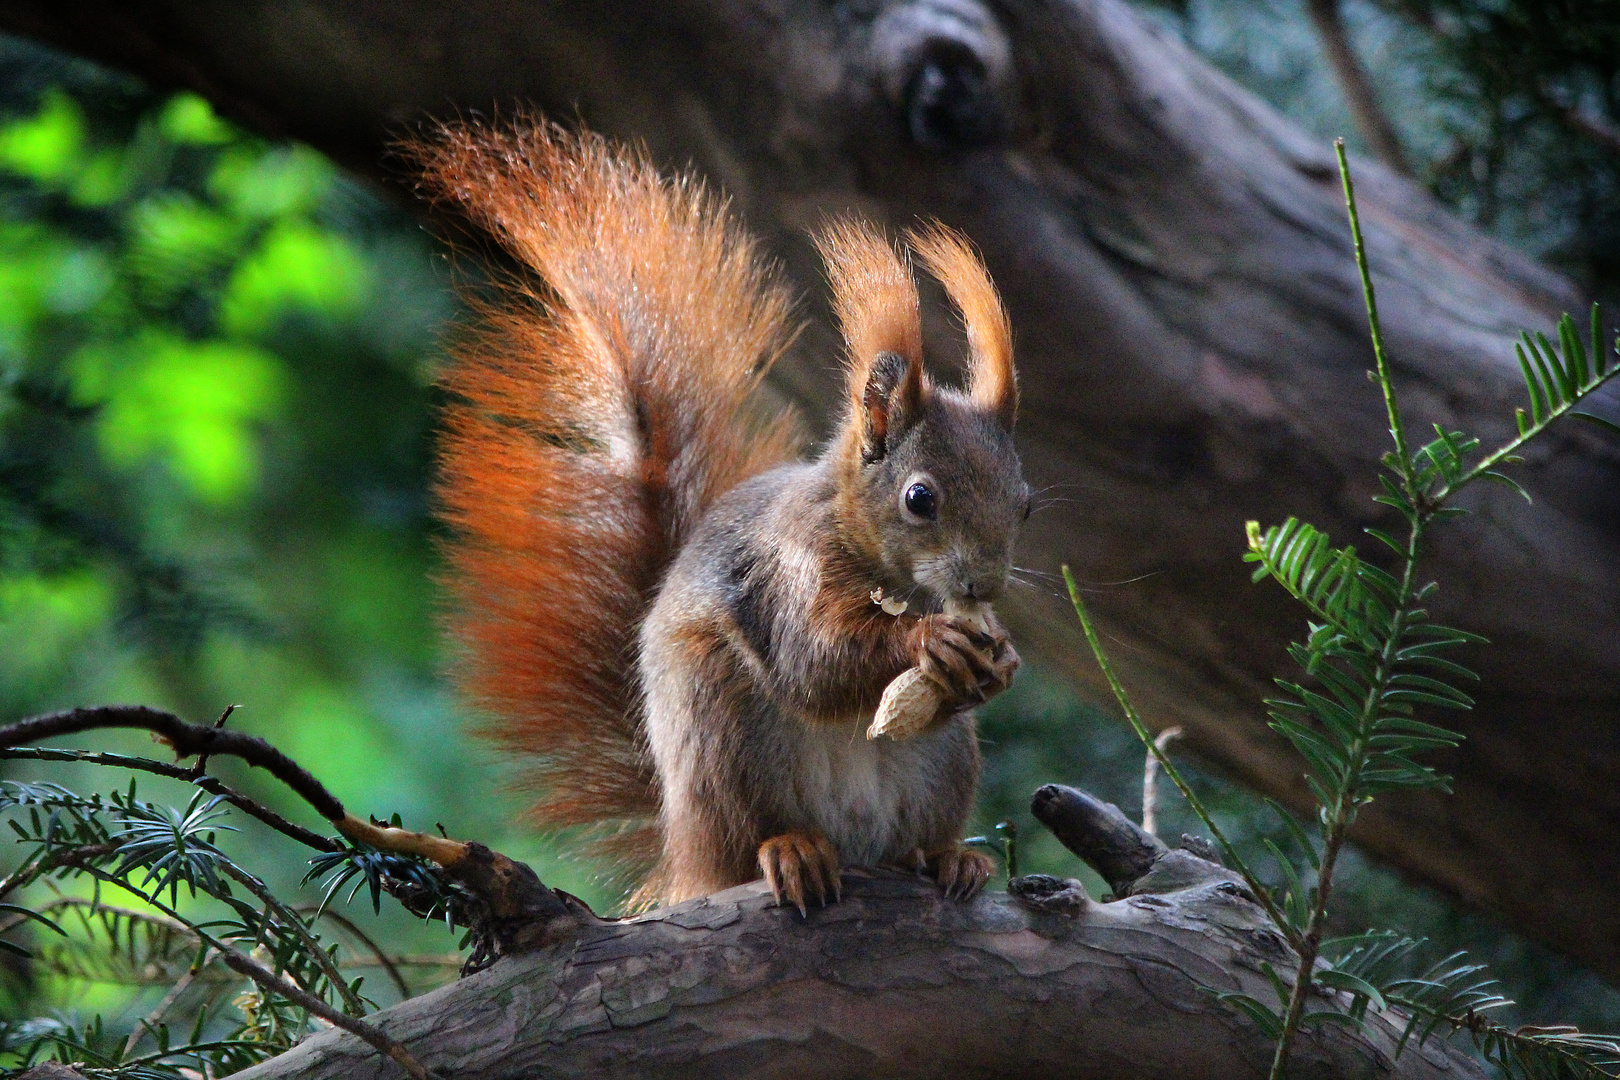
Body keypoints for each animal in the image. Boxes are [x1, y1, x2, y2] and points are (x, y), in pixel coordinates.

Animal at [414, 120, 1023, 913]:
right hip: (723, 731)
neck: (882, 568)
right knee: (747, 840)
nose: (984, 587)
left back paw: (950, 858)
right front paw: (927, 642)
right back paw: (790, 850)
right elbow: (814, 661)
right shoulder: (788, 568)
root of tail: (684, 855)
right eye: (920, 499)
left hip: (943, 763)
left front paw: (999, 661)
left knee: (920, 832)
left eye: (1024, 501)